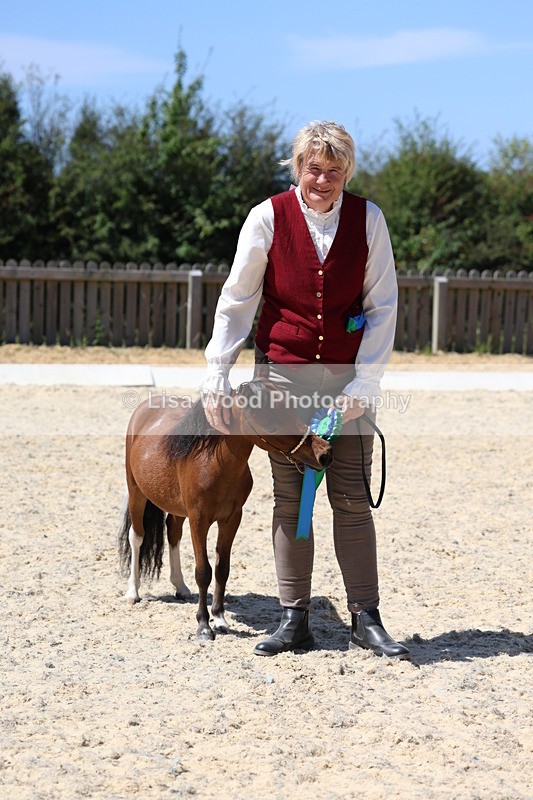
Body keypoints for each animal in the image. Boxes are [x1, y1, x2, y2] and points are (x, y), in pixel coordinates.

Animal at [118, 379, 333, 640]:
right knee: (137, 537)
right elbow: (203, 571)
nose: (325, 453)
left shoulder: (231, 519)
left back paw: (180, 587)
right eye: (271, 426)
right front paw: (203, 626)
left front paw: (219, 619)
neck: (214, 463)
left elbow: (222, 569)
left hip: (176, 508)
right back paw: (133, 593)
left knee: (173, 533)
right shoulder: (199, 520)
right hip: (136, 493)